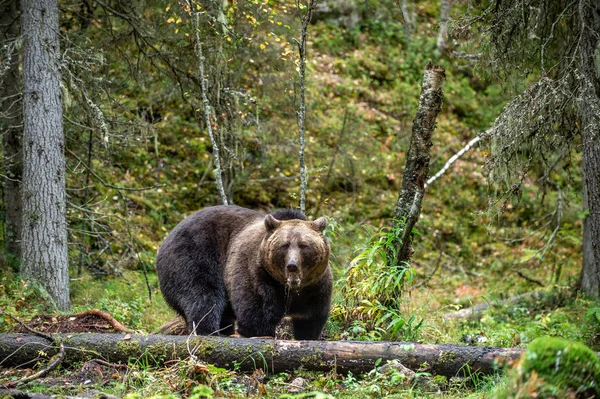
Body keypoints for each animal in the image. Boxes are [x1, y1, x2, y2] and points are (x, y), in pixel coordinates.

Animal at [155, 206, 332, 340]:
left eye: (303, 245)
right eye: (285, 245)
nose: (292, 265)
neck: (289, 286)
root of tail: (168, 237)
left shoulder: (315, 286)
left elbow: (311, 317)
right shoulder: (257, 273)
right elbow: (255, 313)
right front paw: (261, 334)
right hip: (193, 255)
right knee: (202, 295)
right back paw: (210, 331)